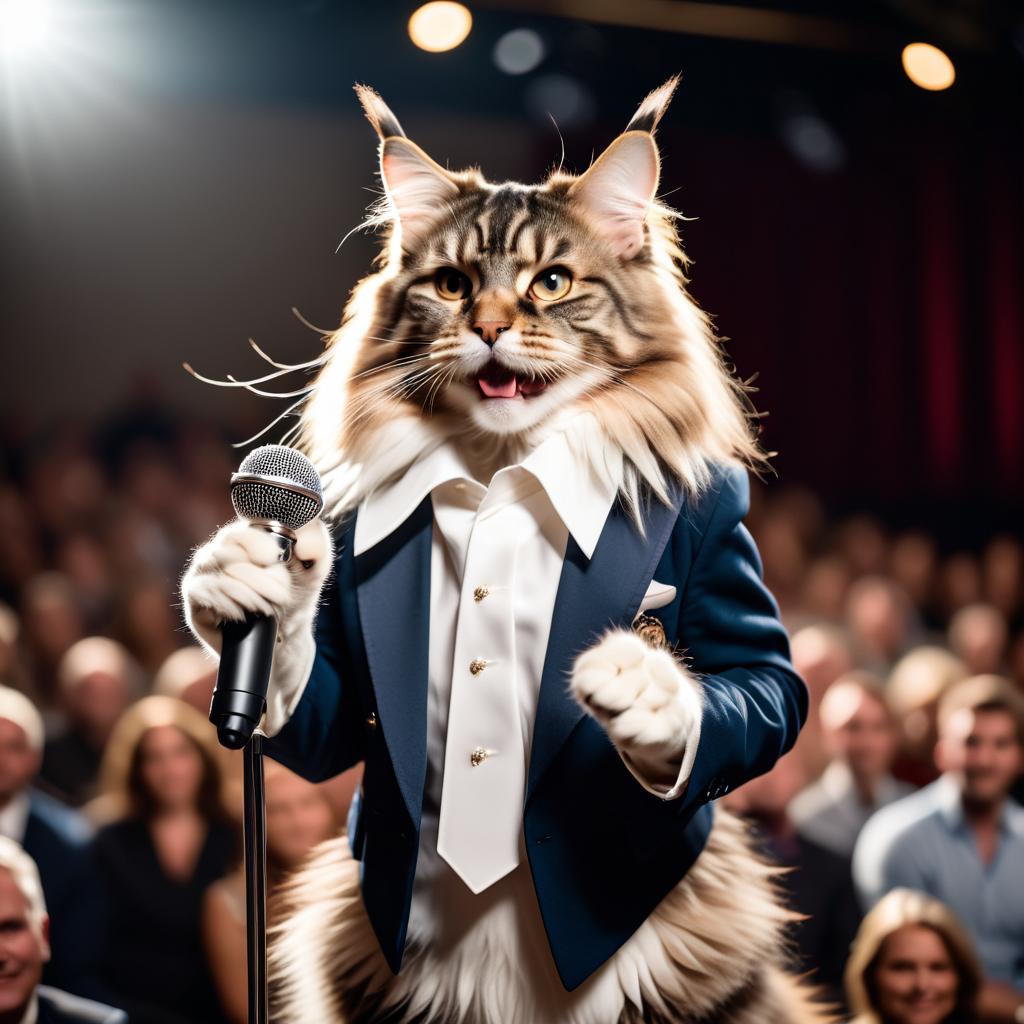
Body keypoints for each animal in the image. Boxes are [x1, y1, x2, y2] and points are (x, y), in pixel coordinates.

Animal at [182, 75, 839, 1019]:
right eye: (453, 285)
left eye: (552, 282)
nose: (489, 326)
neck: (499, 469)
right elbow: (312, 698)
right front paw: (236, 579)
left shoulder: (733, 580)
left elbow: (757, 687)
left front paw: (646, 694)